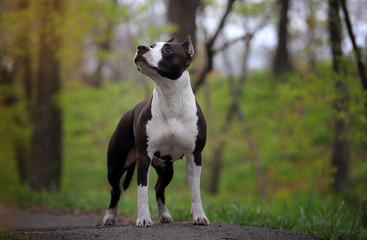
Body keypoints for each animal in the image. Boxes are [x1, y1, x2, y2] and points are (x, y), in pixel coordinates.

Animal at [103, 35, 210, 227]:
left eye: (167, 49)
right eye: (152, 45)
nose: (141, 48)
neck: (170, 97)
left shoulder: (195, 156)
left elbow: (195, 191)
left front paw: (199, 216)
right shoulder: (145, 157)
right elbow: (142, 190)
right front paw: (144, 218)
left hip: (166, 169)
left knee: (159, 188)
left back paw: (164, 215)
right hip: (115, 166)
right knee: (115, 189)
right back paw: (110, 216)